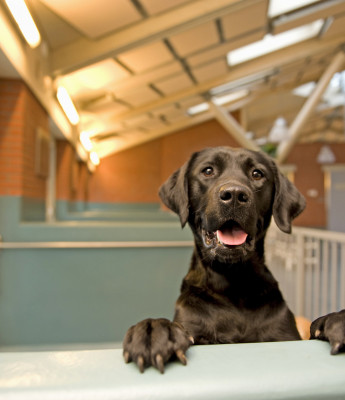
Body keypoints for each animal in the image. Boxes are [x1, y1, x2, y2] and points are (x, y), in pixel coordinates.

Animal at [123, 146, 344, 372]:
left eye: (257, 174)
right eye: (208, 170)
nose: (235, 195)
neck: (233, 283)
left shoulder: (286, 335)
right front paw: (153, 330)